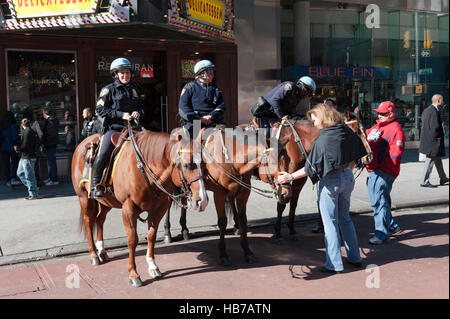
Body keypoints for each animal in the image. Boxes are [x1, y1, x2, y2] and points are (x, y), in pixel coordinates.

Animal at [71, 129, 208, 288]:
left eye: (204, 164)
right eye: (186, 165)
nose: (203, 201)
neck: (142, 167)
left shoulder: (159, 208)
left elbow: (151, 236)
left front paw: (153, 267)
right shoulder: (128, 208)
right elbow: (132, 240)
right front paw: (134, 274)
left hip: (106, 201)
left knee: (99, 220)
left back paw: (102, 251)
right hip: (84, 197)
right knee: (89, 221)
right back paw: (94, 254)